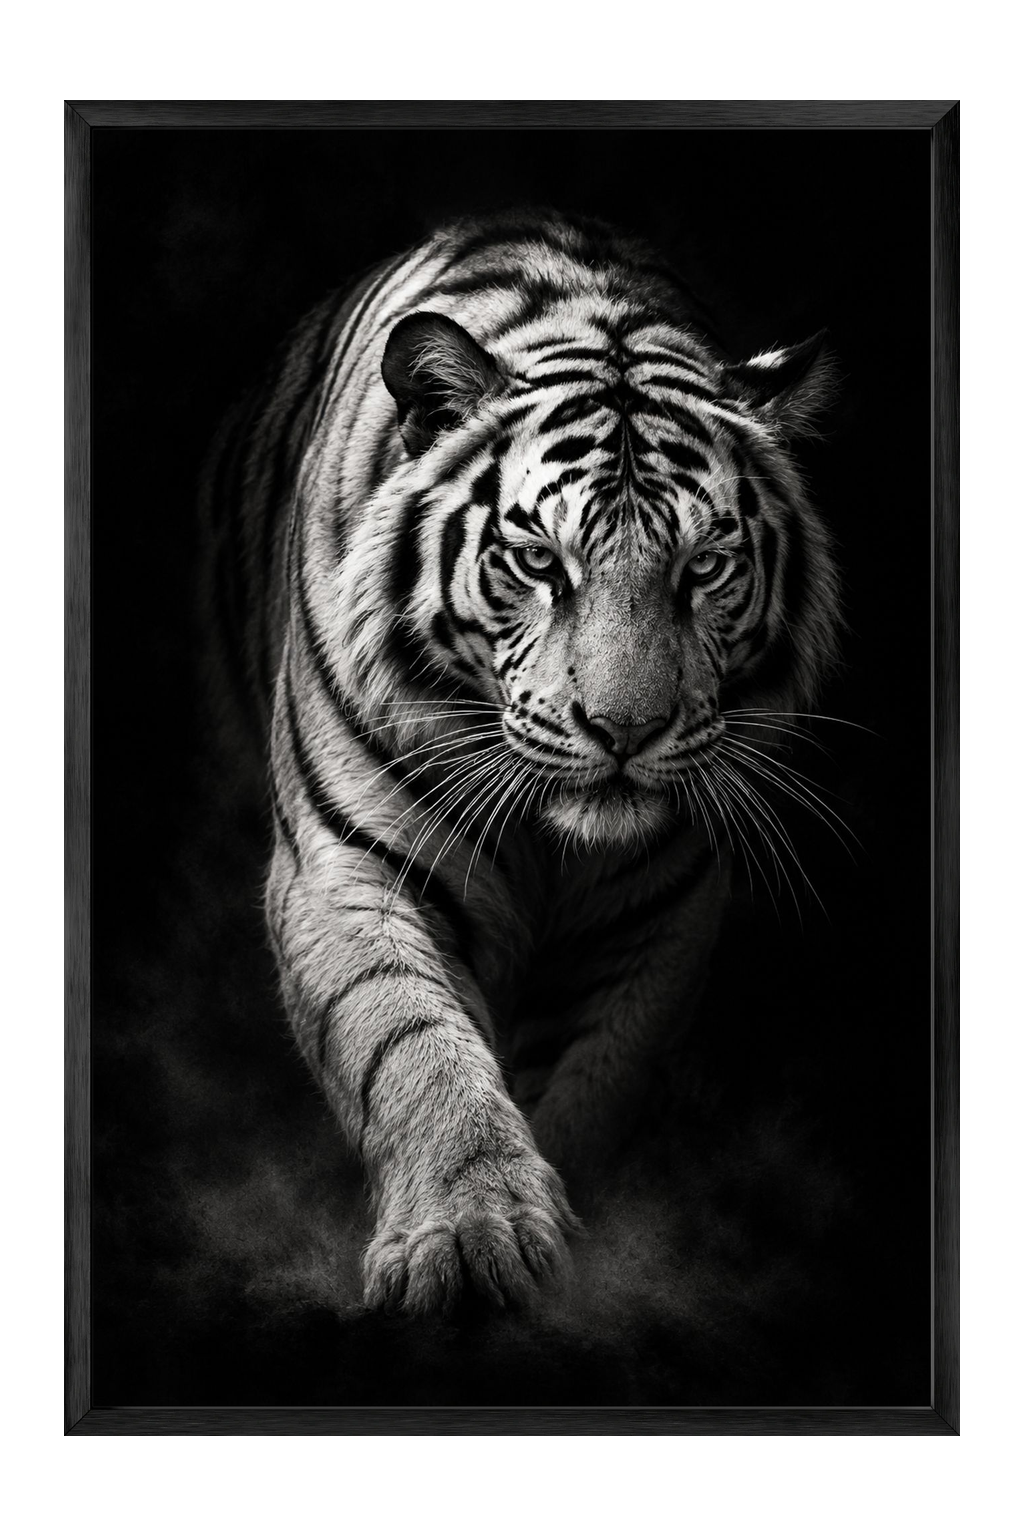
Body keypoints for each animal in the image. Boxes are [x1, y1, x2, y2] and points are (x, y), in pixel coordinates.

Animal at [200, 208, 841, 1318]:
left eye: (705, 566)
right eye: (540, 561)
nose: (624, 728)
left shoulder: (658, 914)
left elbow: (592, 1078)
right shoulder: (344, 866)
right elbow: (412, 1046)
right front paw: (470, 1241)